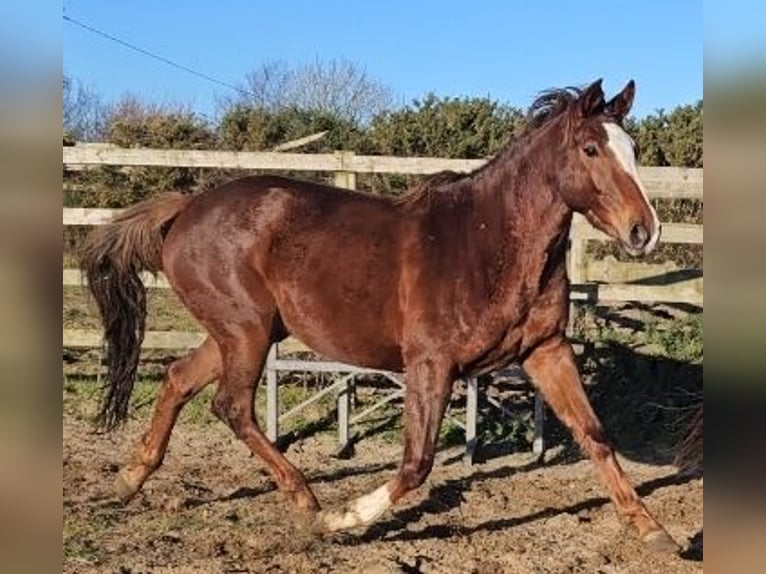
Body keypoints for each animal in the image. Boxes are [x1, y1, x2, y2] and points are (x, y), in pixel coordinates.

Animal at [82, 78, 678, 552]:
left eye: (632, 148)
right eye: (590, 148)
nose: (644, 231)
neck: (490, 243)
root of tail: (186, 208)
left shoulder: (545, 349)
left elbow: (595, 435)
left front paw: (654, 531)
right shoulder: (431, 364)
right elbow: (416, 463)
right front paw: (343, 519)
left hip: (245, 331)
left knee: (181, 378)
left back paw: (129, 480)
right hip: (245, 332)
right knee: (232, 407)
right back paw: (308, 503)